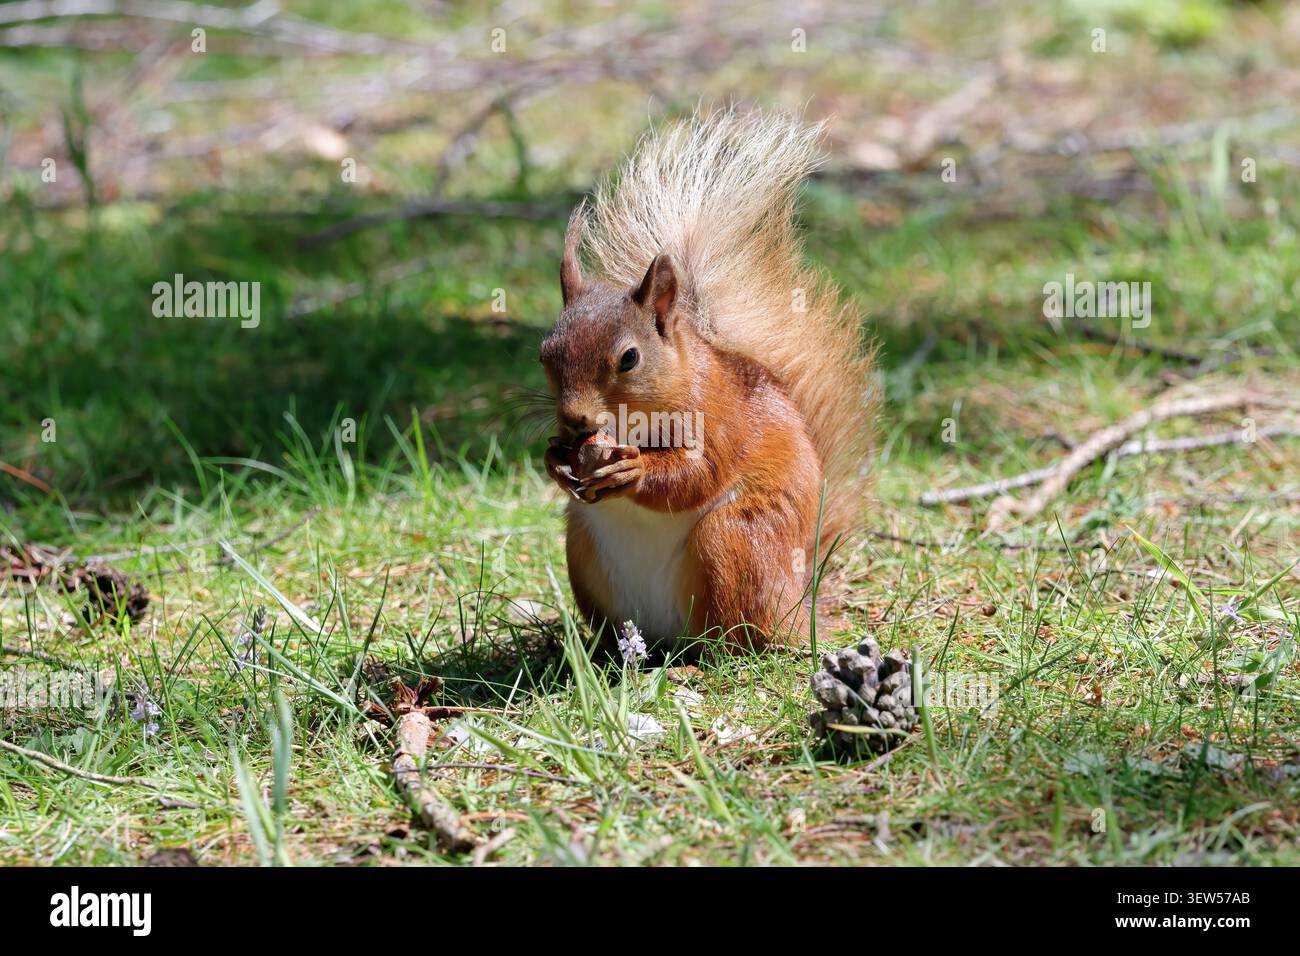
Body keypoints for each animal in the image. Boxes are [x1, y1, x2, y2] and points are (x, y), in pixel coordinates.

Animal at [540, 110, 875, 651]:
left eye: (629, 358)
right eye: (545, 354)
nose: (573, 421)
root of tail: (797, 603)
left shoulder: (718, 416)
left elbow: (698, 473)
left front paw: (634, 470)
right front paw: (553, 460)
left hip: (732, 540)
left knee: (738, 637)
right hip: (582, 548)